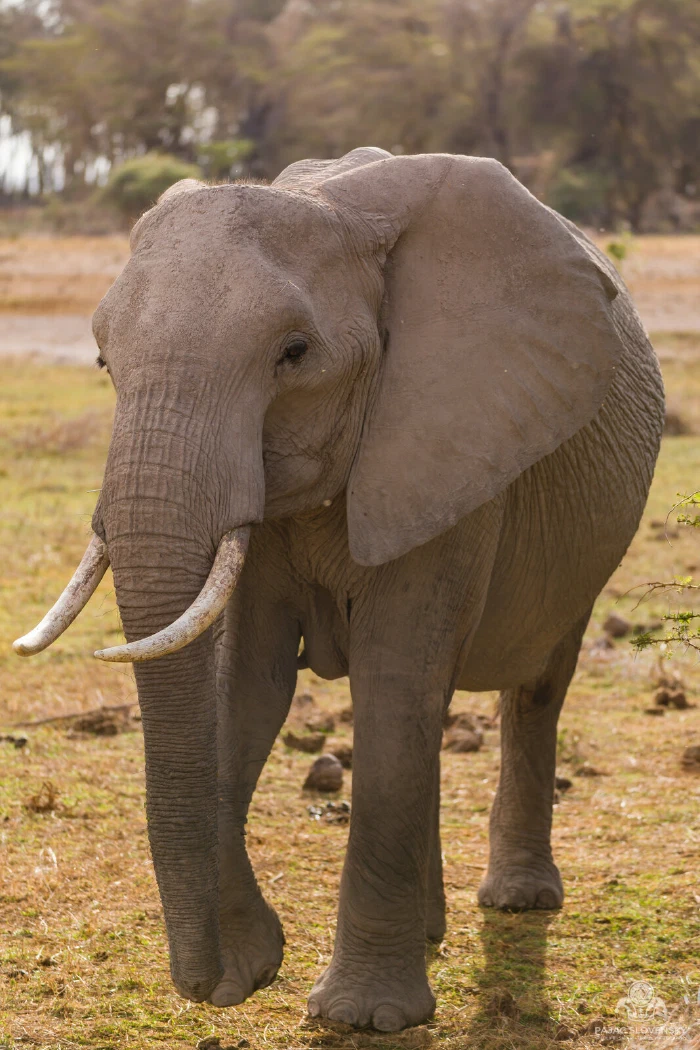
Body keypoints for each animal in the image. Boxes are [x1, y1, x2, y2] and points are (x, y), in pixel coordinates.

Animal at [14, 147, 664, 1032]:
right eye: (104, 362)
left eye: (294, 353)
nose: (208, 982)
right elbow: (247, 682)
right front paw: (249, 966)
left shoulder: (448, 438)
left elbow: (392, 677)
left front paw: (359, 1017)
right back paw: (432, 930)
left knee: (532, 685)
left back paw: (519, 902)